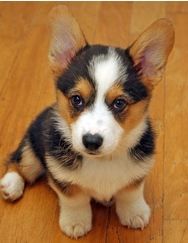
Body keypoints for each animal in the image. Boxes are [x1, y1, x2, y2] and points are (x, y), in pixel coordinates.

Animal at [0, 5, 174, 239]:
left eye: (119, 103)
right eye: (76, 99)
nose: (91, 141)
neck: (103, 160)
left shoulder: (138, 172)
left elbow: (131, 191)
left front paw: (134, 213)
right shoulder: (61, 175)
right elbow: (75, 198)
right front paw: (76, 222)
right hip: (33, 147)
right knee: (18, 161)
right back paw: (11, 184)